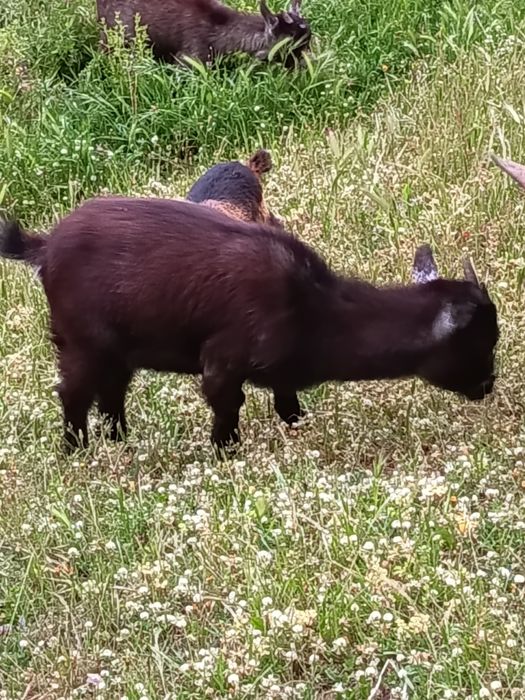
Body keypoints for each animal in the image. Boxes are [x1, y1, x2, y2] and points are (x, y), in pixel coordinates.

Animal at [0, 200, 498, 452]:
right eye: (483, 342)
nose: (488, 385)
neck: (314, 310)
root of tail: (44, 247)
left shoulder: (282, 374)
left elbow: (289, 407)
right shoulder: (222, 361)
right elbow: (227, 414)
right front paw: (226, 456)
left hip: (117, 351)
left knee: (112, 394)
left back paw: (121, 443)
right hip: (80, 340)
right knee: (74, 394)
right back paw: (76, 451)